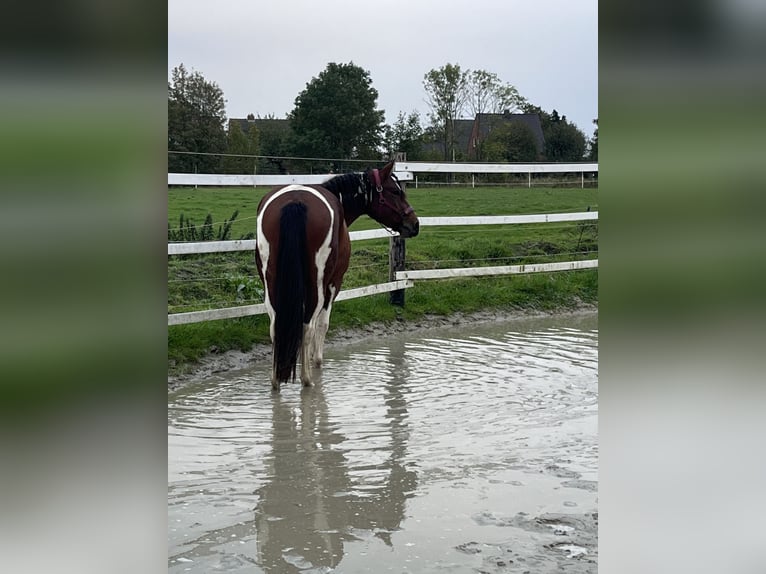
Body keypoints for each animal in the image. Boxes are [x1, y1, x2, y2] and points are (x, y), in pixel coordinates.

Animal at [256, 161, 420, 392]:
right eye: (396, 192)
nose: (414, 224)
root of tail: (295, 202)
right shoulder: (334, 283)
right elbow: (322, 324)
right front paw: (316, 362)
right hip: (316, 284)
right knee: (307, 326)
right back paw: (307, 379)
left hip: (270, 282)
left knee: (274, 327)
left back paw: (275, 381)